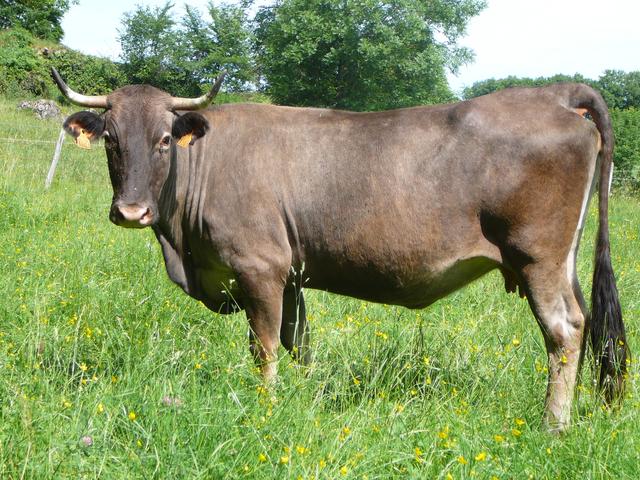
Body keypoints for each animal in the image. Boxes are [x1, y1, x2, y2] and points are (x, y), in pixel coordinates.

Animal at [51, 67, 628, 432]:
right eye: (111, 139)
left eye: (165, 140)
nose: (131, 212)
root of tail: (554, 92)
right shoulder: (291, 277)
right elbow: (298, 345)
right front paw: (306, 400)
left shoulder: (260, 269)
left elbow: (264, 349)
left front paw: (266, 407)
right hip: (564, 261)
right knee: (588, 324)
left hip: (539, 258)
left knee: (564, 330)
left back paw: (554, 424)